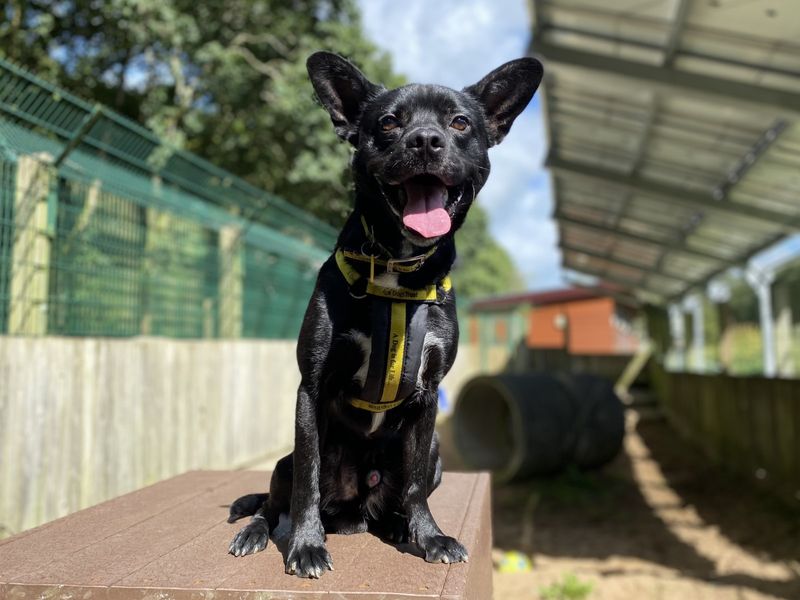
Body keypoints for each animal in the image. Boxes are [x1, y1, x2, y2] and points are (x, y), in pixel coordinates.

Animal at [227, 50, 544, 576]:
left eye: (460, 122)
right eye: (390, 122)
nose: (426, 140)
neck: (397, 271)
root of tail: (356, 511)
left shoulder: (428, 399)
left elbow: (414, 487)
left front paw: (429, 537)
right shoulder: (311, 390)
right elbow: (307, 482)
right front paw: (306, 545)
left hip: (435, 453)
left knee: (400, 495)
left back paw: (397, 525)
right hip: (284, 460)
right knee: (277, 501)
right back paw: (259, 531)